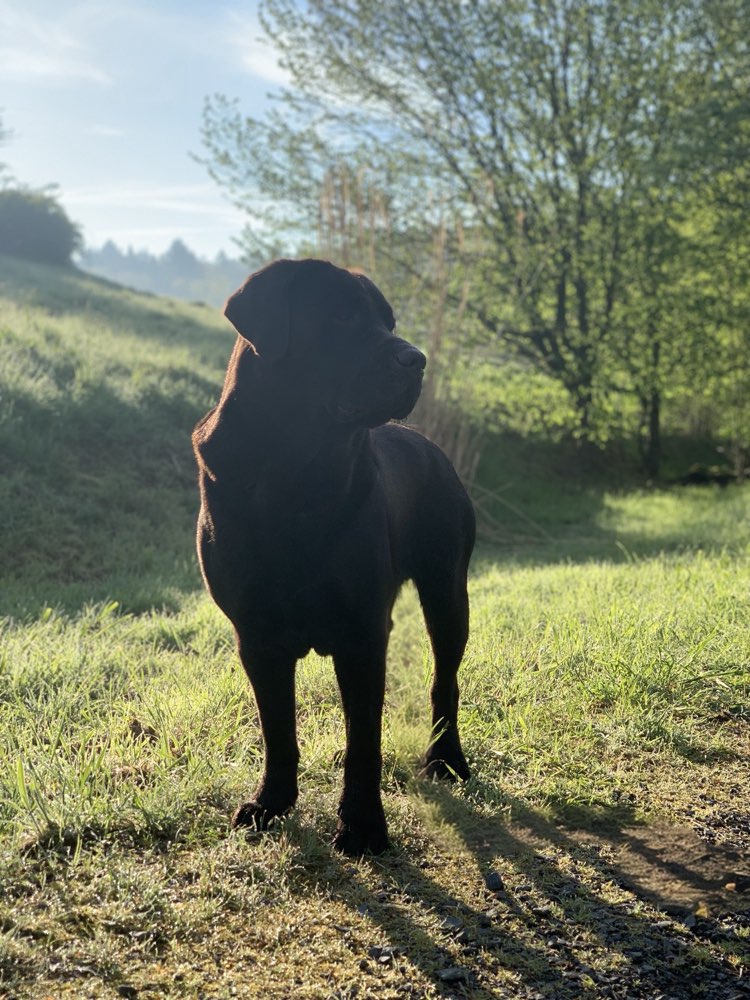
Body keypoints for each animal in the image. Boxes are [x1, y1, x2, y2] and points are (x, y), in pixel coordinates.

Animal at [194, 258, 476, 852]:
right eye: (342, 315)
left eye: (389, 322)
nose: (416, 358)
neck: (293, 469)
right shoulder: (257, 635)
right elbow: (278, 730)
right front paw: (270, 805)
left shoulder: (362, 632)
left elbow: (364, 741)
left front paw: (364, 826)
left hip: (447, 591)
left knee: (445, 681)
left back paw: (446, 759)